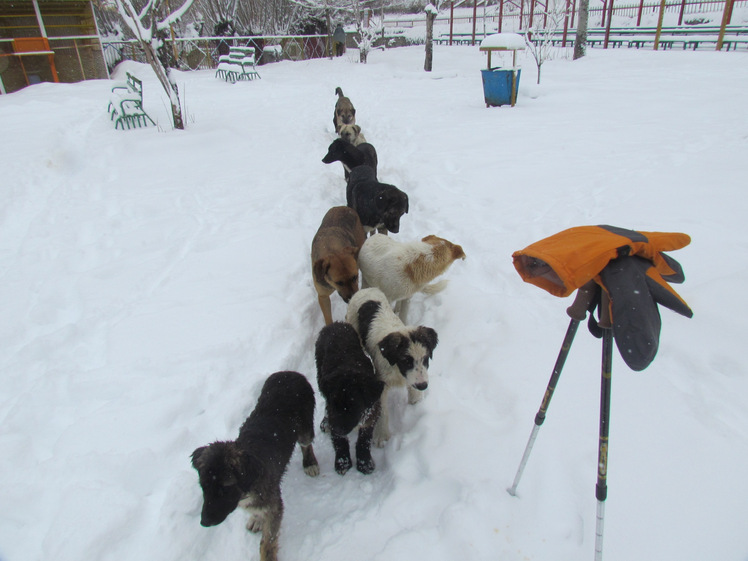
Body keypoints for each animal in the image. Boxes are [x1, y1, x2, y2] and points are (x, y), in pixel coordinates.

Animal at [190, 370, 318, 560]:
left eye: (225, 488)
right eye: (203, 487)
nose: (204, 522)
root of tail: (290, 372)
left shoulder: (274, 506)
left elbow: (267, 542)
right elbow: (257, 513)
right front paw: (256, 519)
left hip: (305, 428)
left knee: (306, 444)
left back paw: (310, 463)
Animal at [316, 322, 386, 474]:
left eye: (354, 405)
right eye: (334, 403)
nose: (335, 428)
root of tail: (335, 324)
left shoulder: (372, 414)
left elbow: (364, 440)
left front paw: (364, 463)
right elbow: (340, 442)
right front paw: (342, 462)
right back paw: (325, 422)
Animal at [344, 288, 438, 446]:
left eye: (425, 359)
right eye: (406, 361)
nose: (423, 386)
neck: (395, 366)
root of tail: (365, 290)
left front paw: (416, 400)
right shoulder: (380, 383)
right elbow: (382, 411)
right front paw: (381, 435)